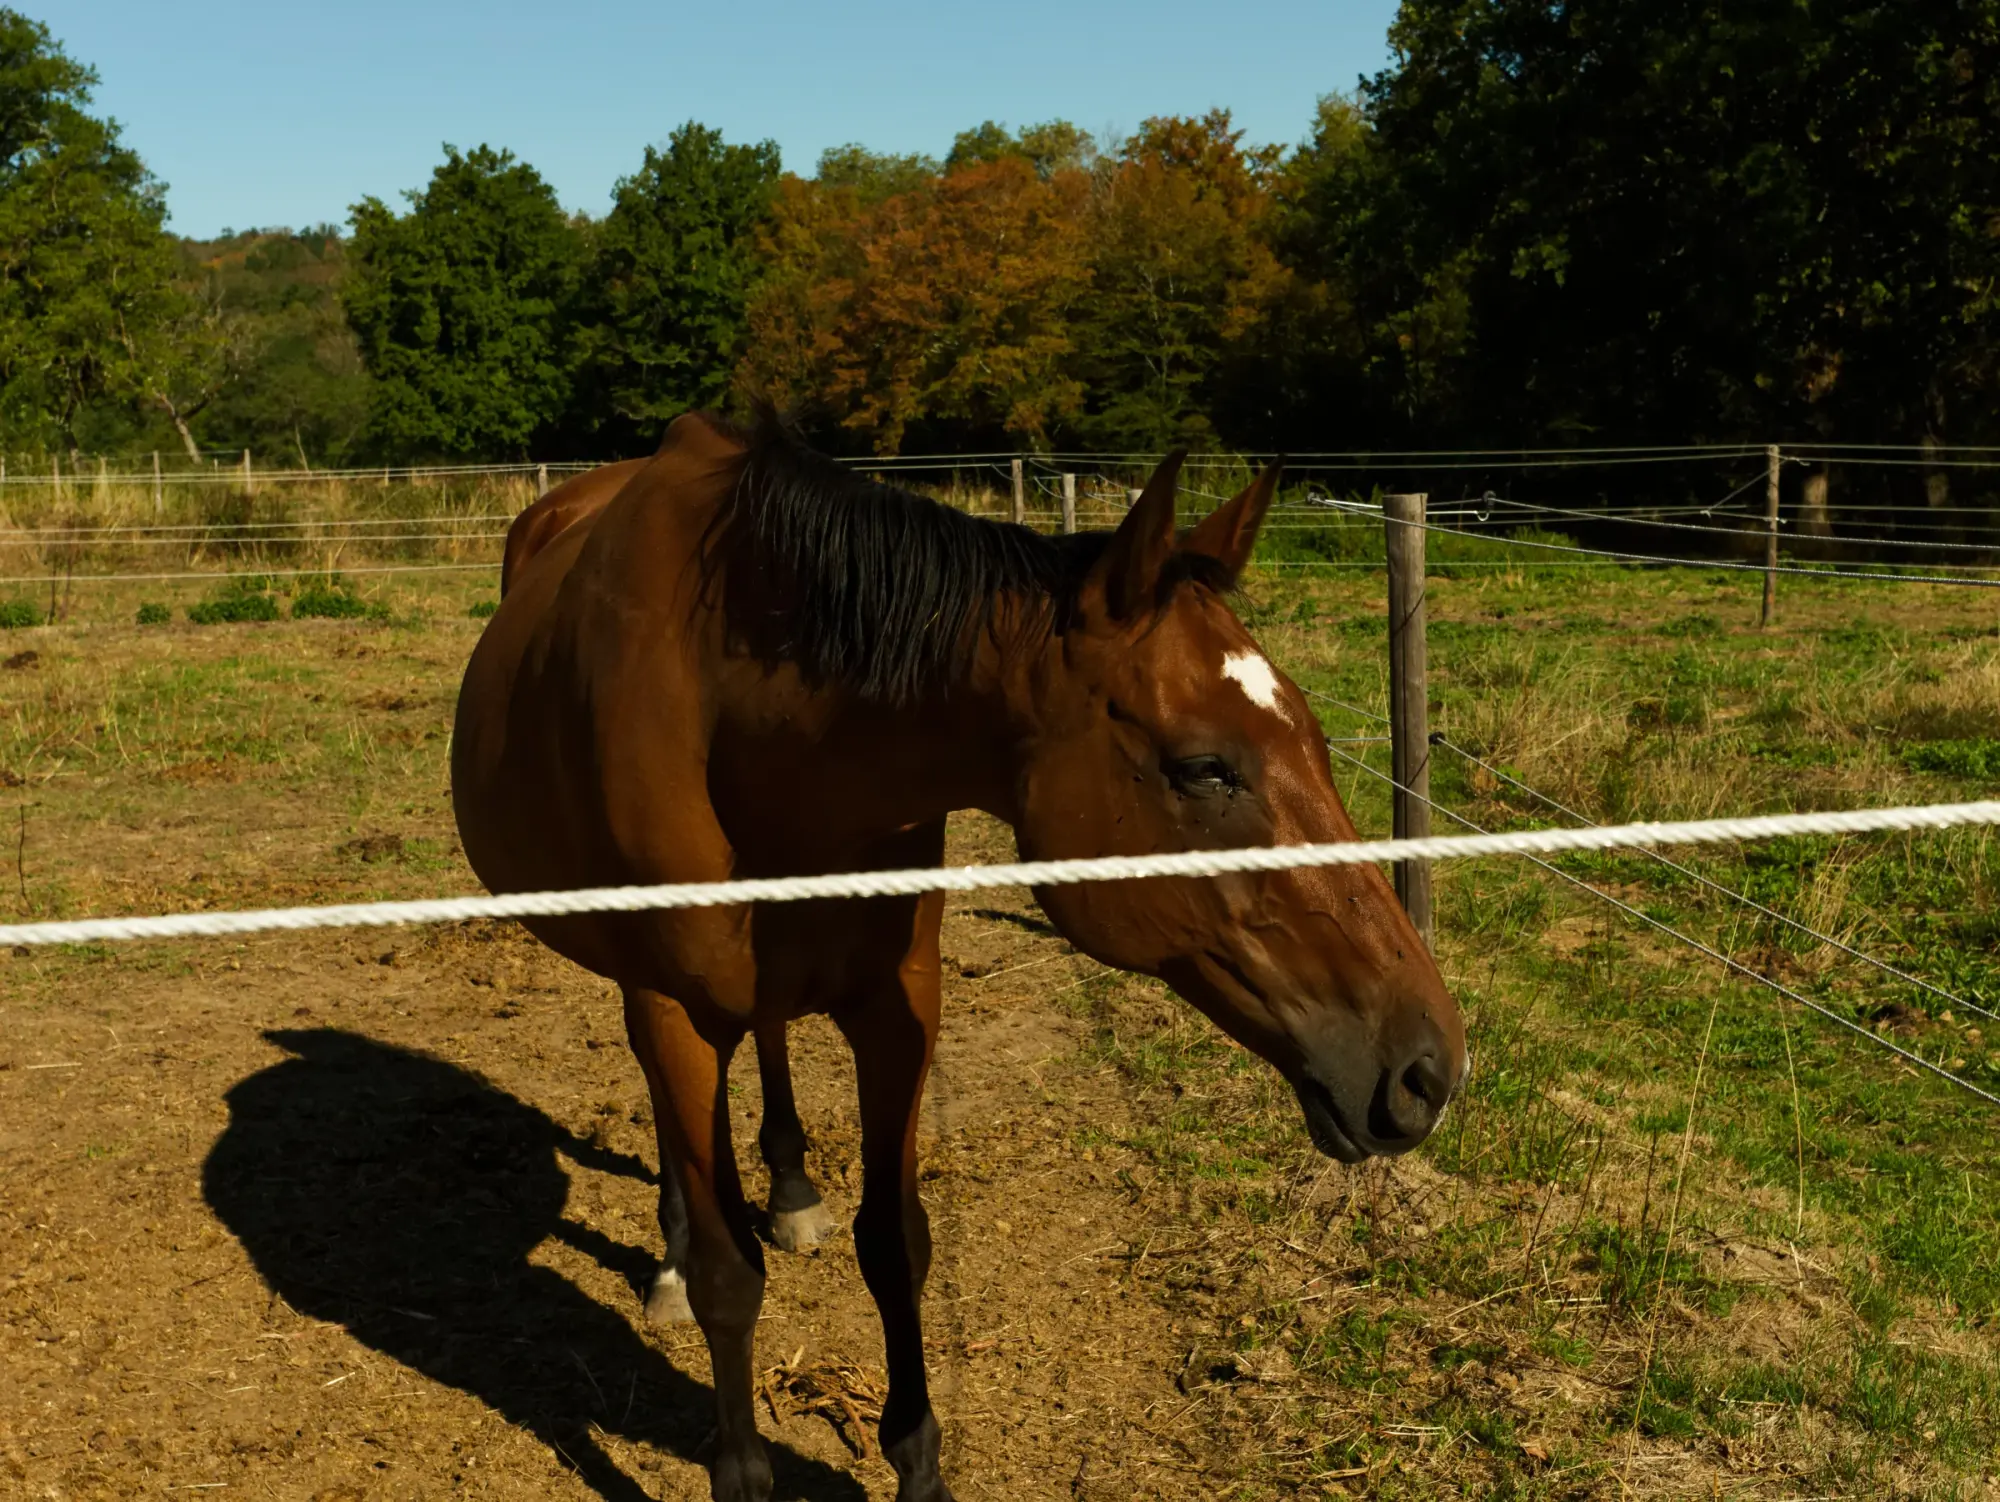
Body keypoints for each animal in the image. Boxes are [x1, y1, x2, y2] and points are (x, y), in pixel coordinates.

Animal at [452, 411, 1468, 1502]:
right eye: (1204, 767)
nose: (1428, 1067)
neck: (743, 723)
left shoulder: (898, 1004)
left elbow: (895, 1243)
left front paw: (917, 1464)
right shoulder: (681, 1010)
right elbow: (732, 1276)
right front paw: (739, 1458)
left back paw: (790, 1190)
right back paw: (677, 1247)